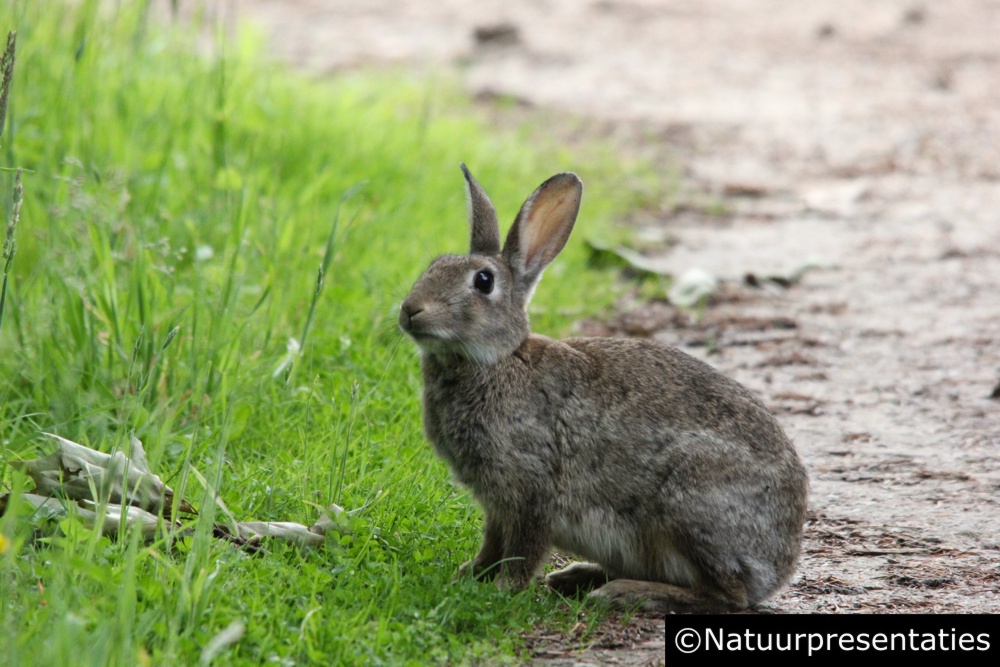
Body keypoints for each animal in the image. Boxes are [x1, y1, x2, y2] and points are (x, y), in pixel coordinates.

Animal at [394, 164, 808, 612]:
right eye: (434, 265)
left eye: (483, 281)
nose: (410, 310)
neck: (498, 361)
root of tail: (779, 564)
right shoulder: (496, 503)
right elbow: (492, 542)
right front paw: (470, 575)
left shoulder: (531, 490)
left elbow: (522, 548)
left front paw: (503, 589)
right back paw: (579, 576)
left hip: (690, 505)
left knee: (728, 596)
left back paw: (623, 592)